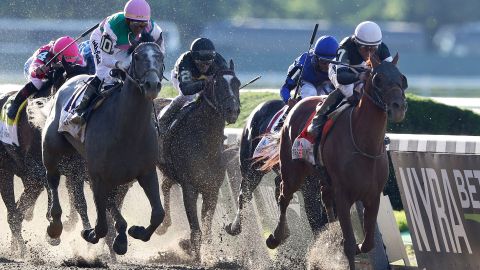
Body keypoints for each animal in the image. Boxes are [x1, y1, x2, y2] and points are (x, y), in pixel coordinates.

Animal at [38, 38, 165, 255]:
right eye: (138, 56)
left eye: (161, 57)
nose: (152, 84)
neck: (128, 131)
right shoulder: (97, 177)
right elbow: (102, 225)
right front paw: (90, 233)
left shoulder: (146, 172)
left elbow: (158, 213)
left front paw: (135, 232)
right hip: (52, 149)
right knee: (52, 179)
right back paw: (54, 225)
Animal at [157, 61, 242, 260]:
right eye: (218, 84)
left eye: (237, 83)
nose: (233, 111)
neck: (204, 142)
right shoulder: (189, 188)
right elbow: (196, 229)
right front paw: (195, 255)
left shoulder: (212, 189)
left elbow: (207, 228)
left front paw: (210, 254)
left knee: (165, 185)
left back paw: (165, 224)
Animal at [224, 99, 328, 236]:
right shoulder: (310, 189)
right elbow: (318, 222)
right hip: (251, 169)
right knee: (244, 193)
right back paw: (235, 227)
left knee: (277, 185)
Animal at [260, 53, 406, 268]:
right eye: (378, 79)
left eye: (402, 79)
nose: (399, 108)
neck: (364, 145)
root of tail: (295, 105)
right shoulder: (343, 195)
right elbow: (349, 244)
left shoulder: (373, 196)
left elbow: (368, 243)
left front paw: (351, 245)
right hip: (292, 171)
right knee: (283, 196)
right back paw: (276, 237)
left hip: (322, 177)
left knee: (324, 197)